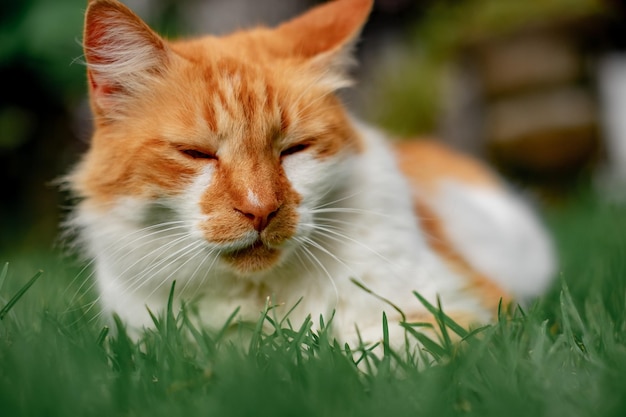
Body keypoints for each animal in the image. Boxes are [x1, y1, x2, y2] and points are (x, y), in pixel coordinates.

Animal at [66, 0, 552, 346]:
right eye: (196, 154)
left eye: (293, 149)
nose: (260, 211)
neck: (259, 296)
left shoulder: (464, 307)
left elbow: (375, 351)